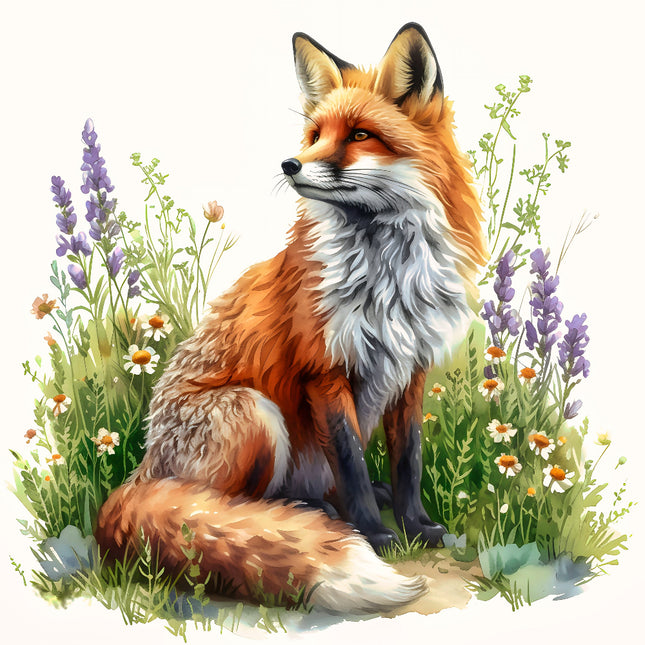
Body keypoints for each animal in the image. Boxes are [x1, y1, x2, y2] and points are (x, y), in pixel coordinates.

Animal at [95, 23, 486, 614]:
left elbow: (409, 461)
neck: (386, 274)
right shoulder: (323, 369)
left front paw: (417, 525)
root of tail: (144, 471)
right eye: (315, 135)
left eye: (360, 135)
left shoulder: (411, 369)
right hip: (253, 412)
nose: (290, 164)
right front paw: (375, 534)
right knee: (218, 507)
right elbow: (351, 462)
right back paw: (302, 516)